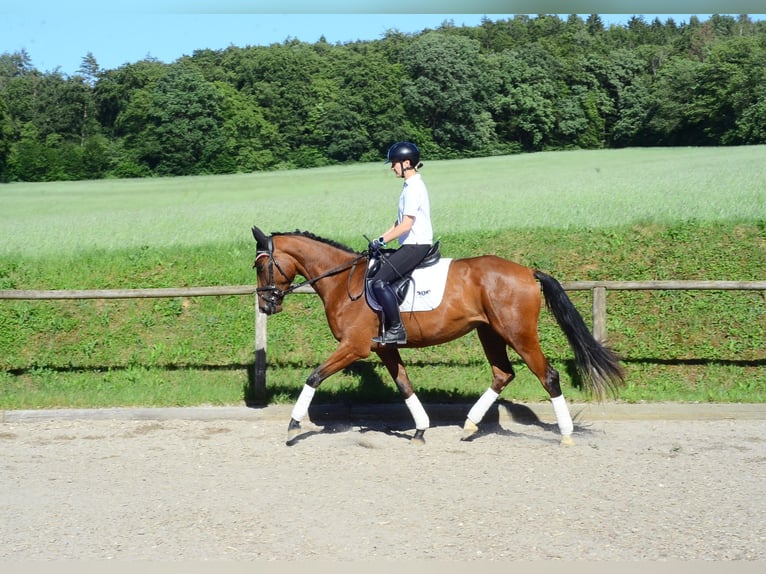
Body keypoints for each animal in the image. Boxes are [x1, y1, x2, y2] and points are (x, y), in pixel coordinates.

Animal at [251, 226, 625, 446]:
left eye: (260, 265)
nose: (267, 305)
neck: (344, 282)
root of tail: (526, 271)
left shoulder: (354, 347)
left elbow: (314, 377)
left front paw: (293, 425)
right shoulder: (382, 348)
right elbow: (404, 385)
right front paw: (420, 429)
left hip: (518, 333)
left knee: (548, 375)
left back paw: (565, 436)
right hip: (490, 333)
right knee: (503, 374)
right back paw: (470, 425)